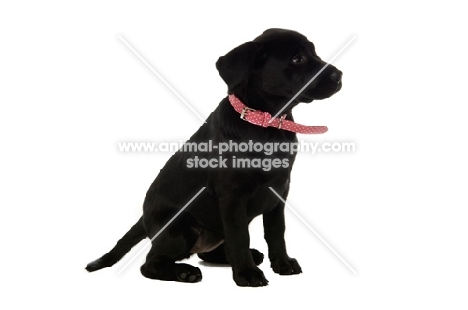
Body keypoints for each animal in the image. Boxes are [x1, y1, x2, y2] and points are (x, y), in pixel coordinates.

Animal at [86, 27, 342, 286]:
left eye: (314, 52)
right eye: (297, 59)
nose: (339, 75)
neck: (266, 125)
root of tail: (144, 218)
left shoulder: (280, 190)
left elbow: (276, 232)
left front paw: (282, 263)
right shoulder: (232, 195)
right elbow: (240, 236)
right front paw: (246, 275)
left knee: (209, 252)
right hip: (180, 231)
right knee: (151, 263)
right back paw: (185, 272)